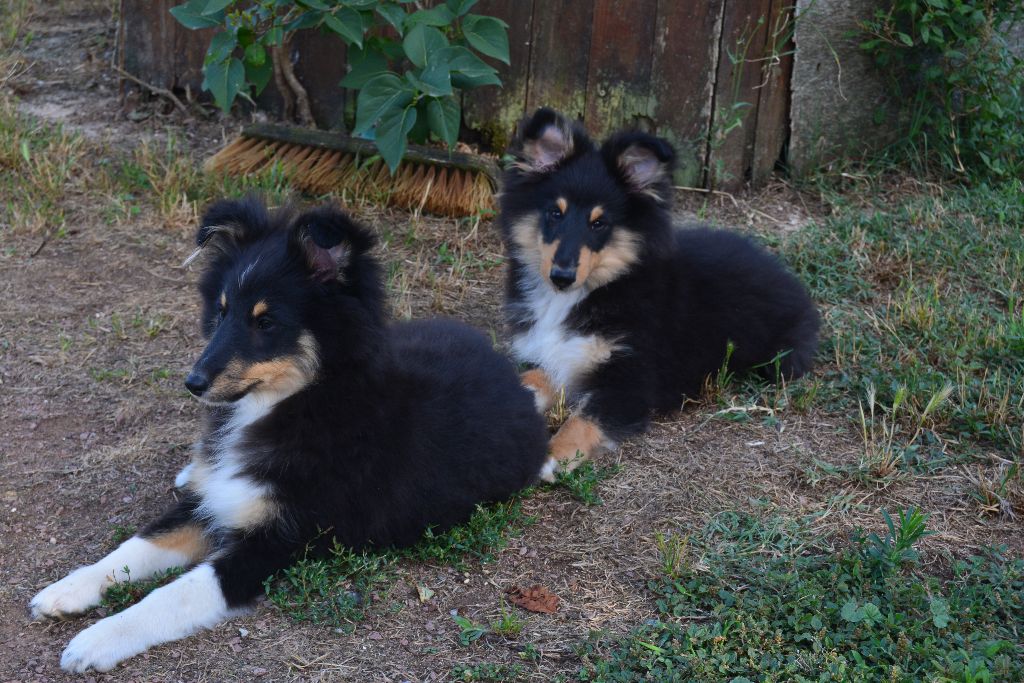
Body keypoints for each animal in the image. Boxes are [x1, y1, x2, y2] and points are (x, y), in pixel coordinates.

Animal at [28, 197, 548, 671]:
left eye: (266, 322)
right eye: (221, 312)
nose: (193, 384)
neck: (297, 404)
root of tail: (509, 373)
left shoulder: (278, 541)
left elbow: (175, 594)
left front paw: (94, 641)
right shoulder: (214, 502)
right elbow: (136, 545)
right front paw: (66, 589)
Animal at [499, 108, 819, 481]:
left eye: (599, 223)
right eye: (555, 213)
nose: (561, 277)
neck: (586, 293)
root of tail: (785, 273)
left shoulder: (631, 381)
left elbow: (583, 419)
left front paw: (552, 456)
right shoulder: (556, 356)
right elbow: (526, 380)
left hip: (779, 360)